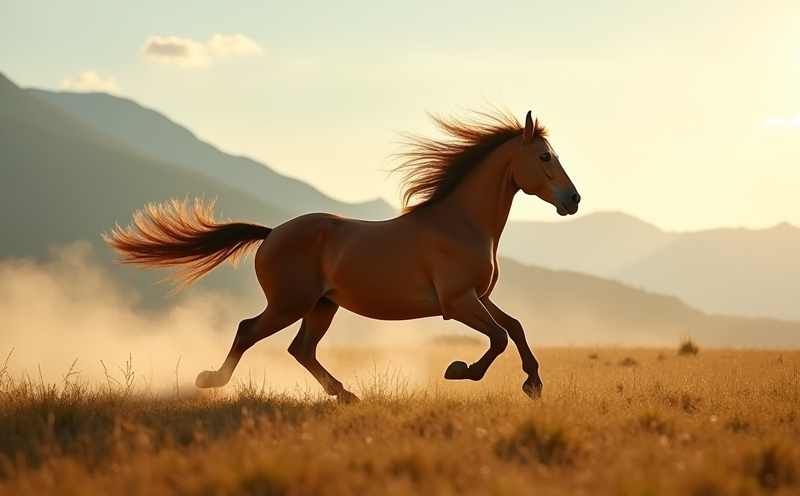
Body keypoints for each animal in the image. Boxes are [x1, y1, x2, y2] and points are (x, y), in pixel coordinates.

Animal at [103, 108, 580, 403]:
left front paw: (533, 384)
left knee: (300, 349)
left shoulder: (478, 296)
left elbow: (515, 328)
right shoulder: (457, 301)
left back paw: (345, 394)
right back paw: (212, 380)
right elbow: (498, 337)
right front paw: (460, 370)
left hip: (322, 305)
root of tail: (272, 233)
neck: (459, 224)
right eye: (544, 156)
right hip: (290, 303)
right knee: (248, 330)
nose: (573, 200)